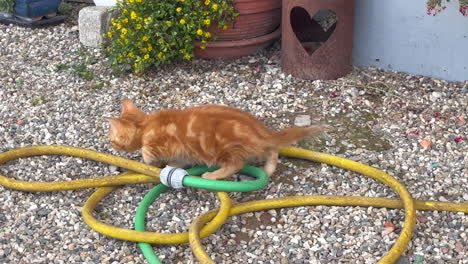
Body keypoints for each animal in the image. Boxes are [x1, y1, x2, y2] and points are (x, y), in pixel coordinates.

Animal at [106, 99, 326, 179]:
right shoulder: (182, 153)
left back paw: (211, 175)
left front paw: (148, 159)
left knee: (236, 164)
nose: (109, 144)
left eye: (112, 139)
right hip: (256, 147)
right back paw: (268, 169)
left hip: (220, 149)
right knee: (273, 149)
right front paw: (171, 167)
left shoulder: (164, 142)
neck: (146, 125)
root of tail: (260, 130)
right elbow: (178, 161)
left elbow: (147, 150)